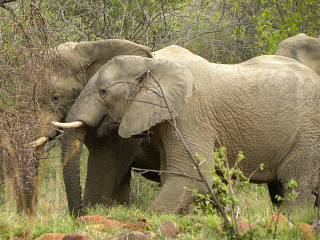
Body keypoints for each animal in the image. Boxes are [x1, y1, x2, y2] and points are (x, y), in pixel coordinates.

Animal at [57, 52, 320, 214]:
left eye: (103, 91)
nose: (77, 217)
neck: (151, 65)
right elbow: (172, 175)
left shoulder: (190, 116)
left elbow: (189, 177)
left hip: (309, 134)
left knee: (295, 184)